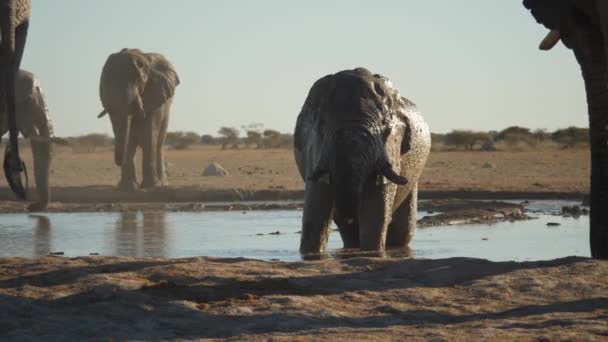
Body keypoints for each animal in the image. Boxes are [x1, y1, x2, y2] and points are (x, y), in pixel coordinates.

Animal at [97, 48, 178, 191]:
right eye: (105, 82)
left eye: (138, 80)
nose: (119, 161)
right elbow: (126, 137)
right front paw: (127, 188)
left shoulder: (155, 96)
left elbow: (149, 136)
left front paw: (150, 187)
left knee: (159, 144)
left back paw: (162, 184)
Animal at [294, 67, 432, 254]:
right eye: (322, 124)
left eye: (385, 126)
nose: (351, 217)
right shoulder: (313, 151)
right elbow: (315, 209)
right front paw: (311, 255)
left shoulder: (391, 148)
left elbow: (376, 208)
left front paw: (373, 253)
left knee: (403, 229)